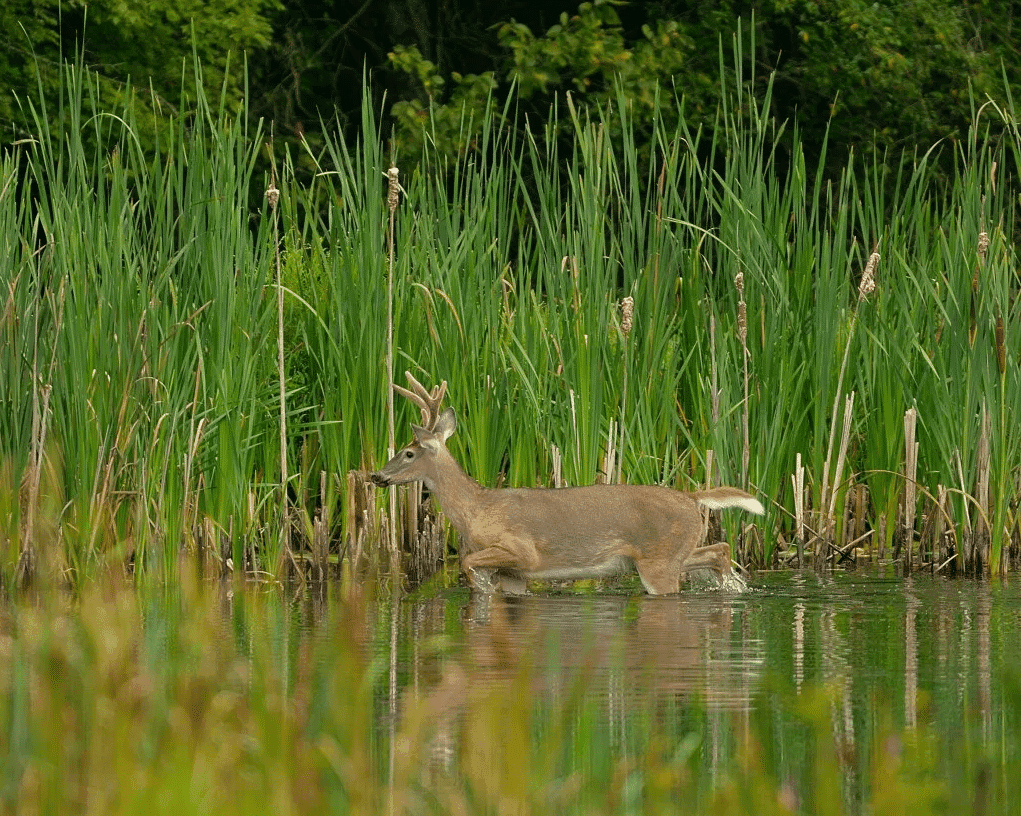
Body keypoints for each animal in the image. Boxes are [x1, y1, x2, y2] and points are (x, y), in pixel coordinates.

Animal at [369, 373, 767, 596]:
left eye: (408, 452)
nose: (376, 476)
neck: (477, 509)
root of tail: (691, 497)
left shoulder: (522, 550)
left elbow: (468, 564)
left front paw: (479, 590)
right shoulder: (515, 574)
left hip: (659, 561)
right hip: (671, 553)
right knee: (720, 549)